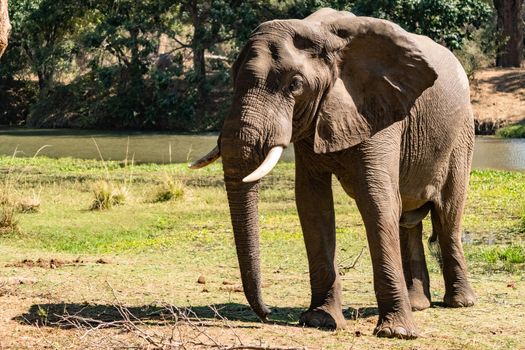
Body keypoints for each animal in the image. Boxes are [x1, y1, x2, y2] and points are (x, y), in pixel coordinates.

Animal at [191, 7, 474, 340]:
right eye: (233, 78)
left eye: (295, 85)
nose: (267, 313)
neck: (320, 33)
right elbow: (312, 203)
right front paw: (321, 320)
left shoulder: (379, 110)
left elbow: (377, 200)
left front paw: (397, 332)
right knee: (409, 220)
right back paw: (418, 304)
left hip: (461, 136)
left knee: (447, 216)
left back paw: (460, 303)